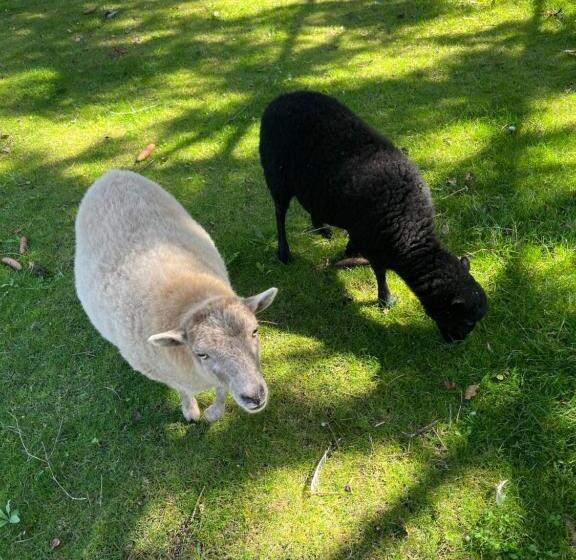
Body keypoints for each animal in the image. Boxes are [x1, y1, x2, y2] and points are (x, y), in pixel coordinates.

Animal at [75, 168, 280, 422]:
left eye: (255, 331)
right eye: (201, 354)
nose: (255, 396)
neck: (191, 300)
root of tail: (111, 174)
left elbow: (221, 389)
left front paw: (215, 412)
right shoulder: (167, 373)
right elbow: (182, 389)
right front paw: (190, 410)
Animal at [258, 92, 488, 342]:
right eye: (467, 321)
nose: (455, 342)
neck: (409, 228)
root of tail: (279, 99)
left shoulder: (365, 230)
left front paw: (350, 252)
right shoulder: (372, 240)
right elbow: (379, 271)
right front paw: (385, 300)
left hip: (310, 184)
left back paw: (323, 229)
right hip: (276, 174)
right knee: (279, 213)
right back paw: (284, 253)